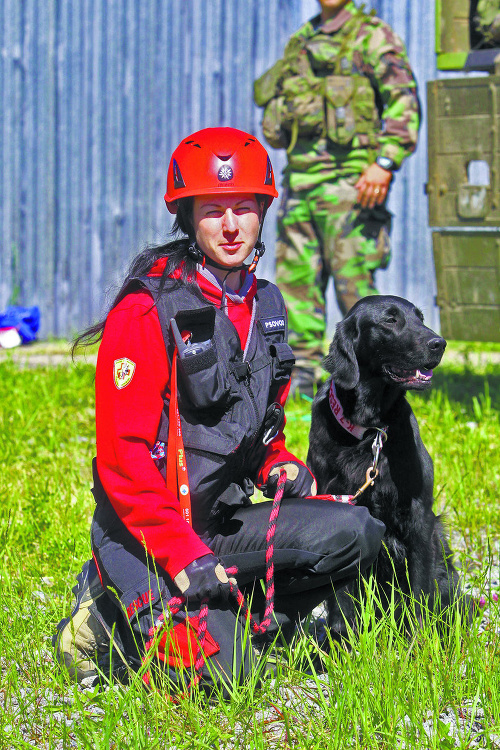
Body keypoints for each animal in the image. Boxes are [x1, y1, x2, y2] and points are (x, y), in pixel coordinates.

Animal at [304, 296, 468, 636]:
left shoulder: (419, 517)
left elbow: (420, 591)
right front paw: (344, 642)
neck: (371, 430)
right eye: (390, 320)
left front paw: (419, 642)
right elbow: (341, 603)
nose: (440, 343)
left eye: (420, 318)